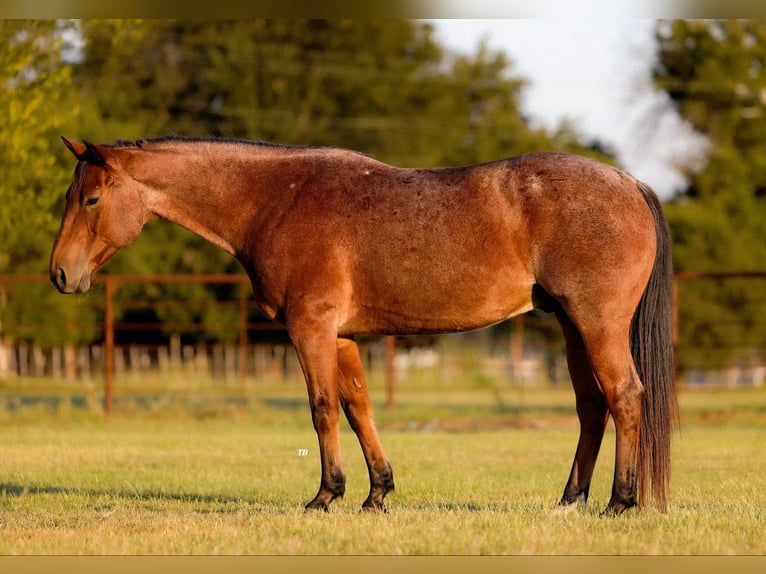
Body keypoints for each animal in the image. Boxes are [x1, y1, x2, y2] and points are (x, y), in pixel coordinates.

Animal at [49, 136, 680, 516]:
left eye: (91, 199)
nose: (60, 273)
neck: (276, 199)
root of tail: (629, 183)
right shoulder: (342, 335)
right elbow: (358, 408)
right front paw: (377, 493)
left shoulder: (311, 328)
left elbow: (323, 408)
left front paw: (326, 496)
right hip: (572, 326)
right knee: (592, 407)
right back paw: (570, 500)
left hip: (596, 323)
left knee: (625, 396)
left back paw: (620, 502)